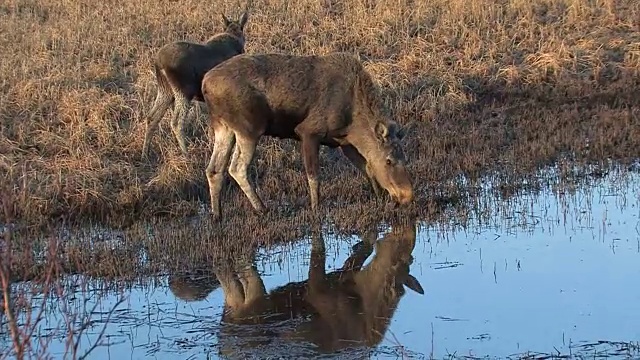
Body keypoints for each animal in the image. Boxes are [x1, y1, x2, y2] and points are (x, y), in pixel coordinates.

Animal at [142, 10, 250, 158]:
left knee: (151, 117)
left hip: (165, 90)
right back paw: (186, 153)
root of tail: (159, 63)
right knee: (176, 123)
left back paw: (145, 152)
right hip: (183, 91)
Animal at [202, 51, 418, 218]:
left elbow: (367, 167)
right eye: (389, 160)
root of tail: (205, 85)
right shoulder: (309, 132)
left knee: (214, 169)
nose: (407, 195)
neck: (355, 124)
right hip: (249, 128)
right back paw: (262, 208)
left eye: (404, 157)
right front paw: (316, 208)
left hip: (223, 127)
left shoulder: (344, 142)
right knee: (237, 168)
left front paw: (379, 195)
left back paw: (217, 214)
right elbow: (314, 176)